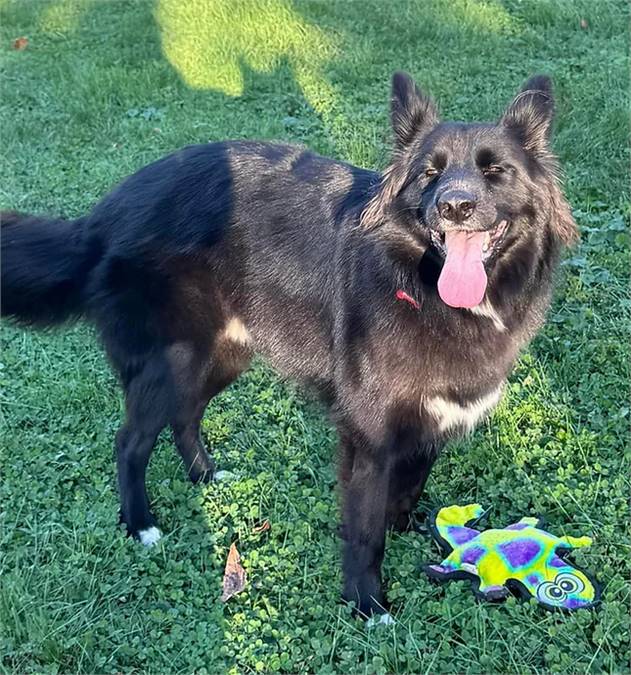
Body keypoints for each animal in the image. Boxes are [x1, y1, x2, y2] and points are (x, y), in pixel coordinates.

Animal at [1, 72, 576, 616]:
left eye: (495, 171)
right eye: (428, 175)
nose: (455, 205)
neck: (420, 286)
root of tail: (102, 214)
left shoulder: (434, 418)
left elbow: (408, 487)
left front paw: (408, 530)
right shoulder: (367, 438)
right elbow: (364, 530)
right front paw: (368, 604)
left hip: (222, 354)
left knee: (186, 416)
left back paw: (206, 476)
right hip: (174, 362)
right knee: (131, 442)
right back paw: (140, 524)